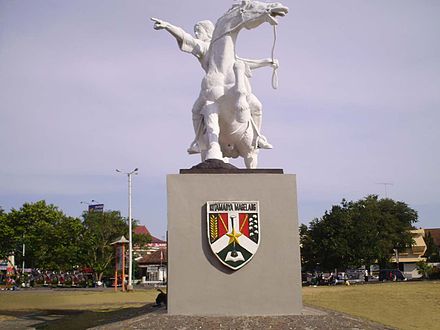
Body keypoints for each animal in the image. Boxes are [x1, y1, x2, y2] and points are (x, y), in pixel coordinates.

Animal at [197, 0, 288, 168]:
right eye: (252, 5)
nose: (279, 5)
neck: (222, 70)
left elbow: (240, 67)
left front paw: (242, 109)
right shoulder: (210, 104)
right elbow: (213, 127)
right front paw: (213, 153)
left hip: (250, 152)